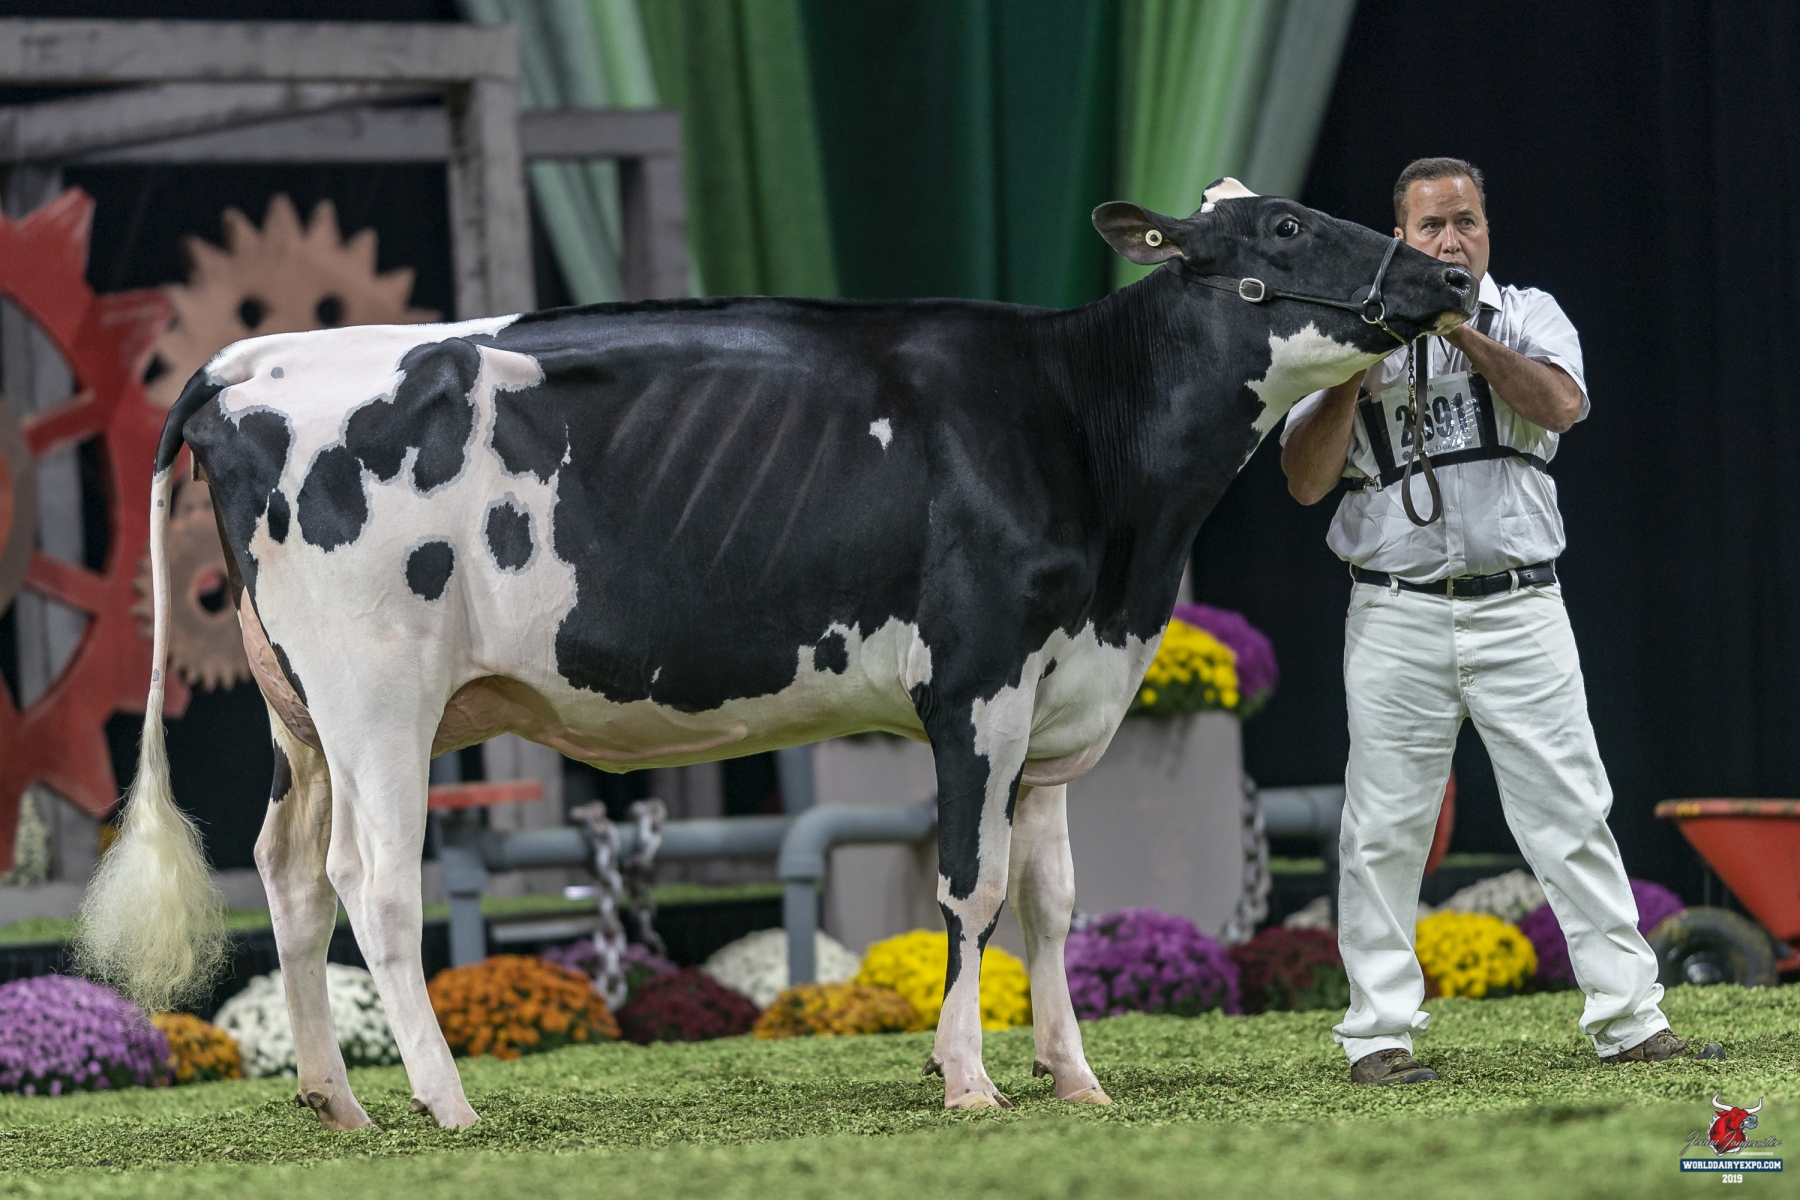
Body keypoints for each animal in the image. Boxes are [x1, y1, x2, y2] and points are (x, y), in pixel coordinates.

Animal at [77, 179, 1473, 1127]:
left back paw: (339, 1101)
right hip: (377, 695)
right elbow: (970, 889)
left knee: (289, 876)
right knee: (375, 884)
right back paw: (445, 1102)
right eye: (1284, 229)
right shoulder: (976, 684)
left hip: (298, 714)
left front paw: (1073, 1076)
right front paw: (969, 1079)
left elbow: (1054, 897)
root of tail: (253, 361)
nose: (1450, 283)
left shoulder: (1063, 701)